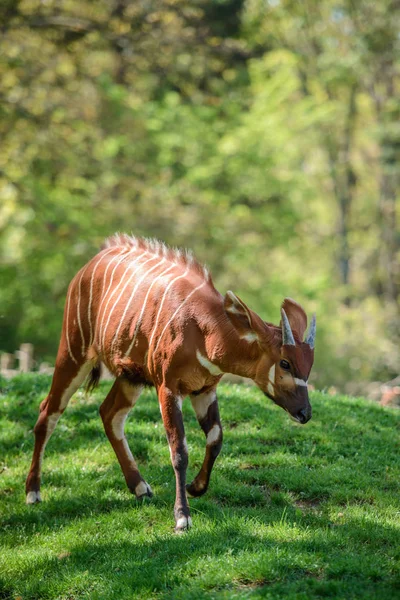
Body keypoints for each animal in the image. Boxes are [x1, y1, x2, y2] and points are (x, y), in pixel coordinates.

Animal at [26, 232, 318, 532]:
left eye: (309, 364)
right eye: (285, 362)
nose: (304, 413)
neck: (205, 331)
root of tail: (91, 263)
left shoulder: (204, 389)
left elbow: (216, 438)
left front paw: (196, 488)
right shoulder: (168, 387)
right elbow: (179, 451)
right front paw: (182, 517)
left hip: (130, 377)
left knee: (109, 413)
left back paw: (140, 487)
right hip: (74, 352)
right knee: (49, 411)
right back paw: (33, 492)